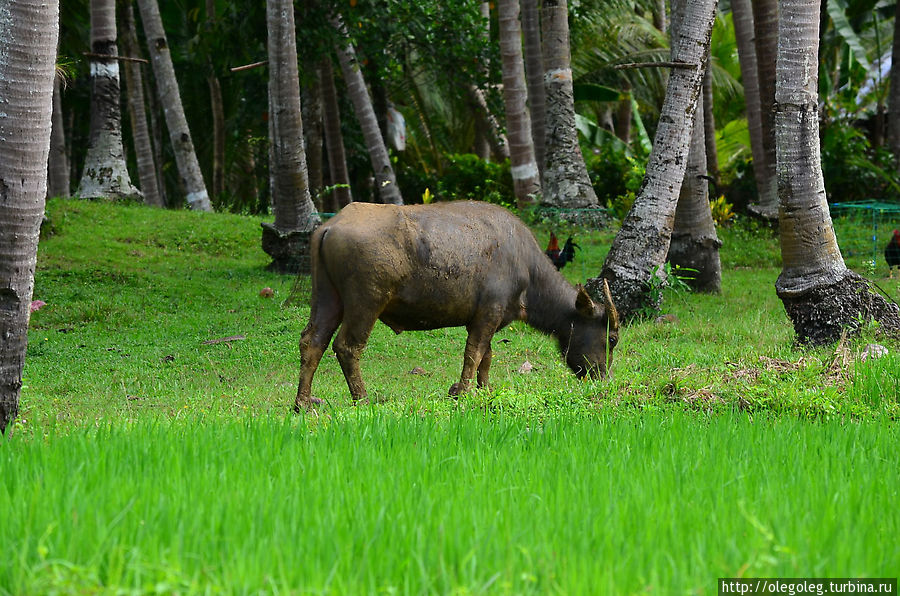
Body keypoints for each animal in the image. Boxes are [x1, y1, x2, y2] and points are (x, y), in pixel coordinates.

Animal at [296, 200, 620, 410]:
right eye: (612, 339)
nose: (603, 378)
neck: (526, 267)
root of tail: (329, 227)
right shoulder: (488, 313)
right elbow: (473, 354)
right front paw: (462, 391)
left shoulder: (486, 318)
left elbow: (486, 356)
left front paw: (485, 389)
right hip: (366, 301)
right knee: (347, 346)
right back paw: (362, 398)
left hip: (327, 297)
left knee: (312, 342)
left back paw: (303, 403)